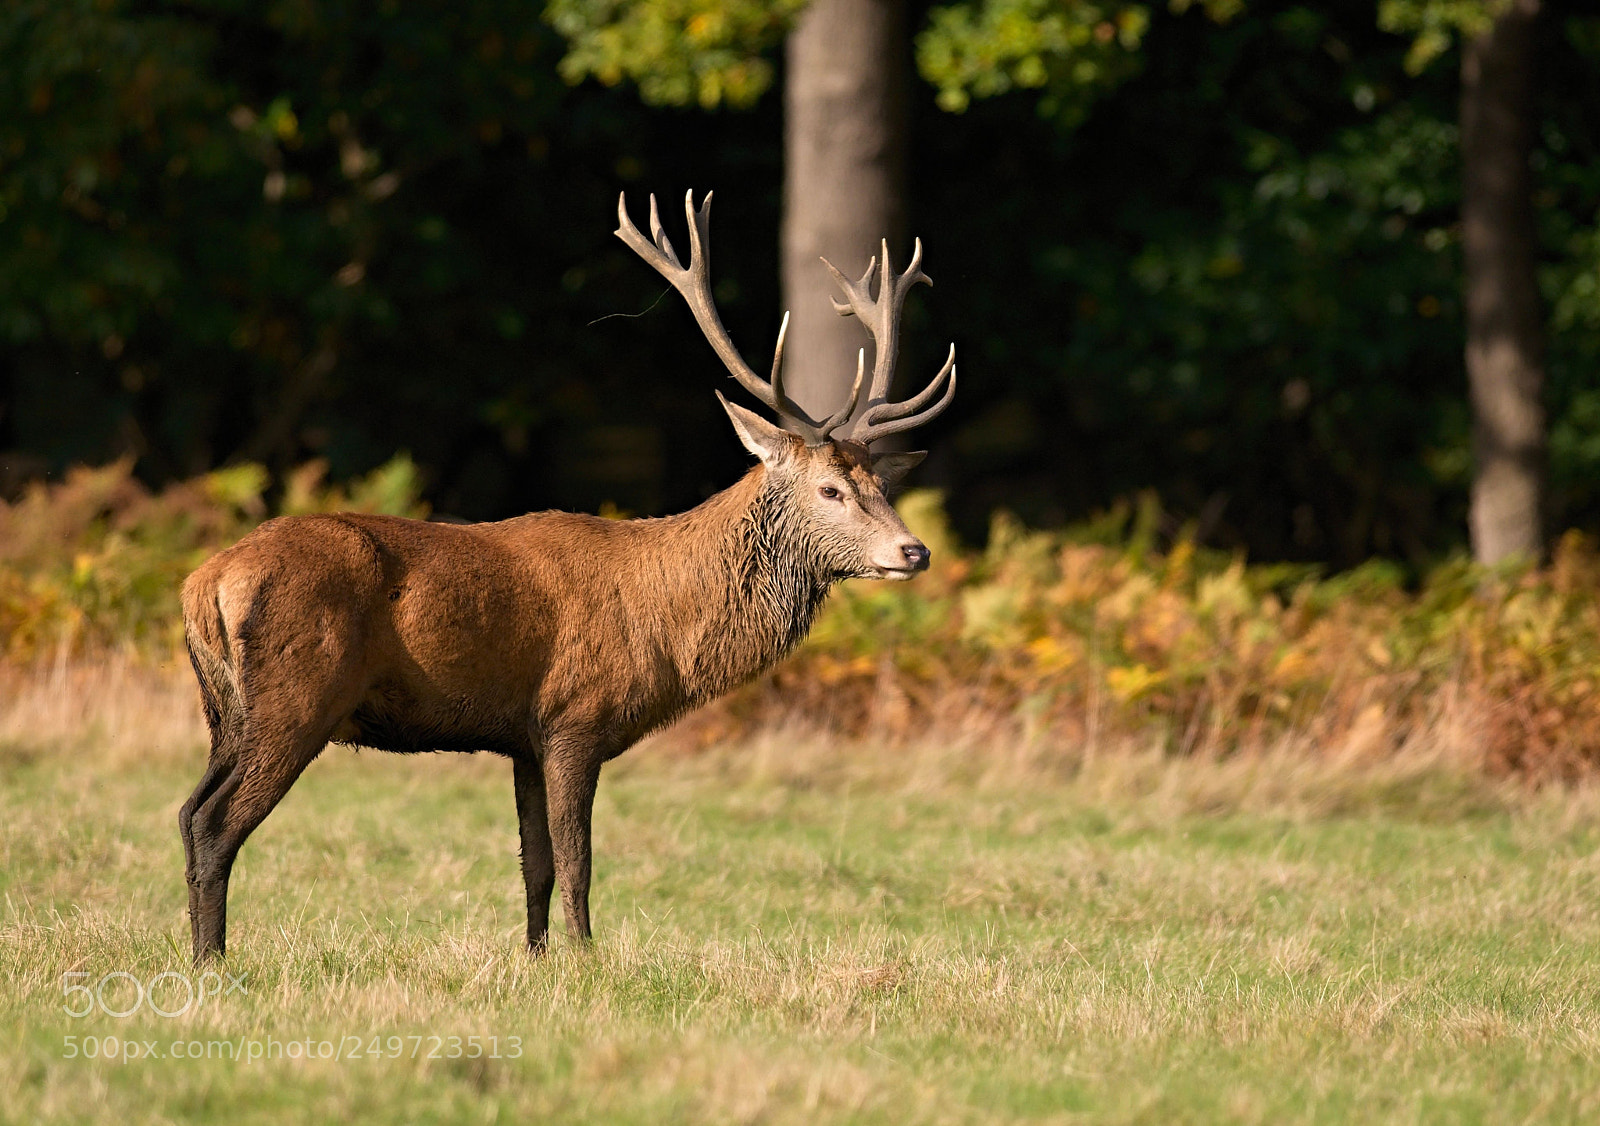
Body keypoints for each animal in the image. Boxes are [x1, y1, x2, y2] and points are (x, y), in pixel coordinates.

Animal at [178, 190, 957, 962]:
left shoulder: (523, 736)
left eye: (882, 482)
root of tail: (204, 583)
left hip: (227, 711)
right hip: (299, 693)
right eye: (830, 488)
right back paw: (214, 962)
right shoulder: (576, 715)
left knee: (187, 810)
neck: (666, 620)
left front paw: (537, 956)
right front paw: (587, 958)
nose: (913, 551)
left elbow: (536, 863)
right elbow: (577, 858)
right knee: (217, 823)